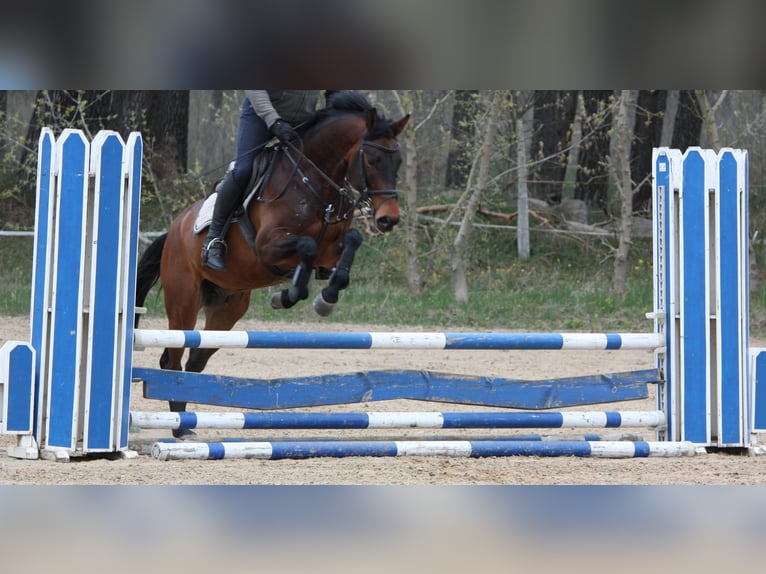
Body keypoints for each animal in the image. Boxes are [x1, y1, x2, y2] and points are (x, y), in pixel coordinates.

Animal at [134, 91, 409, 435]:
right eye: (371, 159)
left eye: (398, 162)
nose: (389, 219)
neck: (313, 181)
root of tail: (174, 229)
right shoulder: (267, 247)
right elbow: (306, 246)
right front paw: (289, 295)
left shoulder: (331, 249)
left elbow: (352, 241)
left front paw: (326, 298)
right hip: (183, 300)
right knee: (172, 360)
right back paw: (181, 427)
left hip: (227, 310)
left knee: (195, 360)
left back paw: (184, 421)